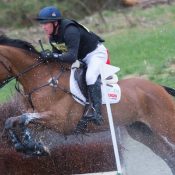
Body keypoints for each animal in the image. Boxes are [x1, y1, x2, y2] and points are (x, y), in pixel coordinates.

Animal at [0, 35, 175, 174]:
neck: (43, 79)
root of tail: (159, 87)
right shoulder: (41, 119)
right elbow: (12, 121)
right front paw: (29, 148)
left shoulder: (59, 120)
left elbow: (23, 119)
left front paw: (38, 148)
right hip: (142, 131)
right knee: (168, 156)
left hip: (164, 125)